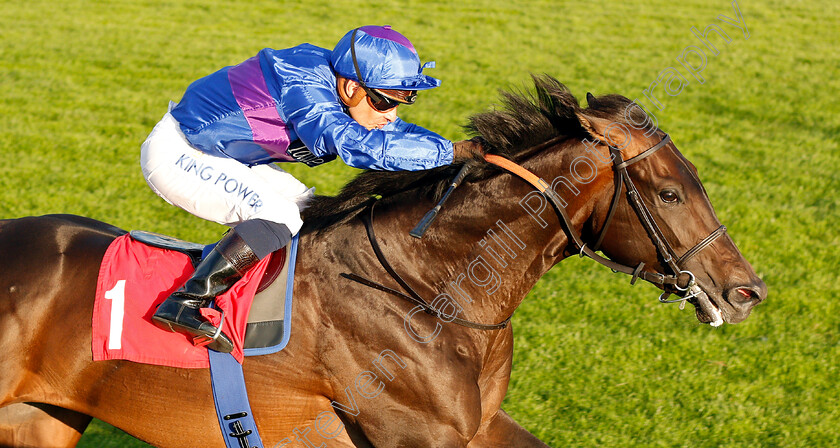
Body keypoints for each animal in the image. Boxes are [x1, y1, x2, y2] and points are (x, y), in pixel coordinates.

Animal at [0, 77, 764, 448]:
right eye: (669, 192)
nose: (746, 290)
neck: (430, 289)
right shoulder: (414, 433)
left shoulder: (477, 426)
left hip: (41, 420)